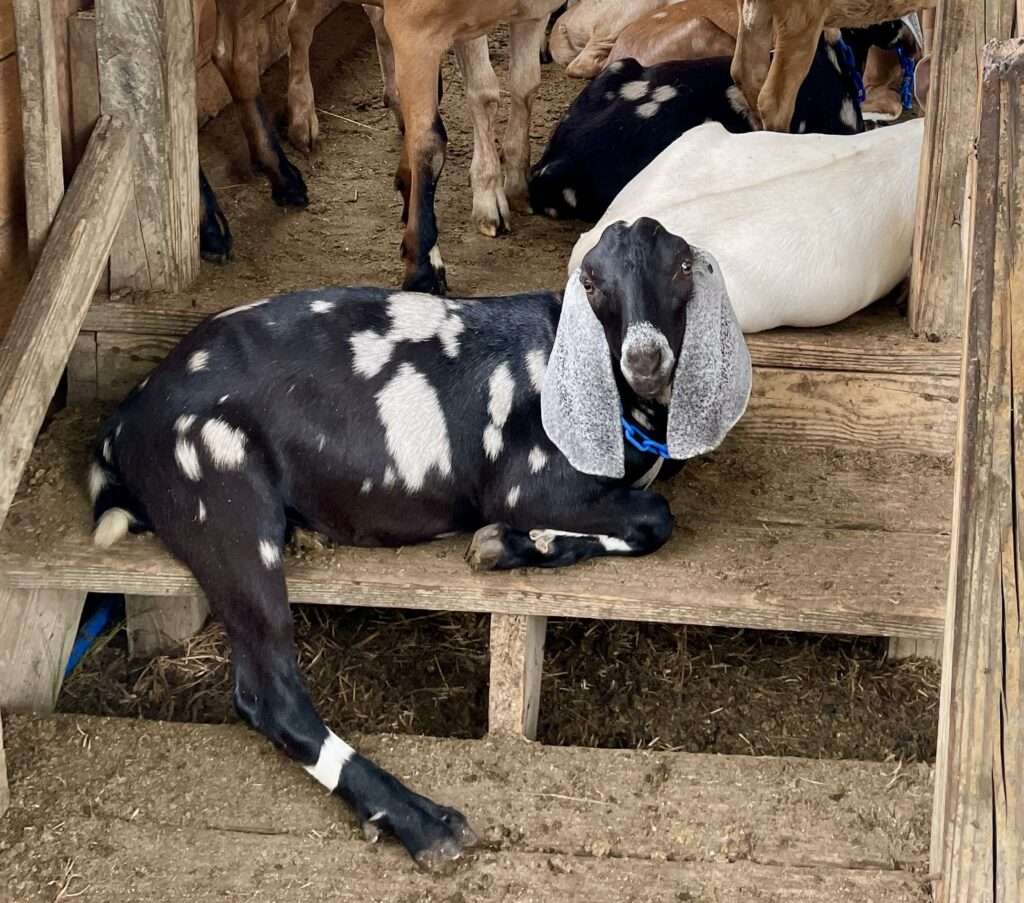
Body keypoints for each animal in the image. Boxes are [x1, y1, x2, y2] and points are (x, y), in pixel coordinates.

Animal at [88, 216, 753, 864]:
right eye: (590, 281)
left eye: (683, 265)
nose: (646, 358)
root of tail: (125, 422)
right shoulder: (528, 482)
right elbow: (656, 518)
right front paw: (511, 542)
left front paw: (517, 545)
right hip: (224, 500)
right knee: (270, 695)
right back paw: (423, 823)